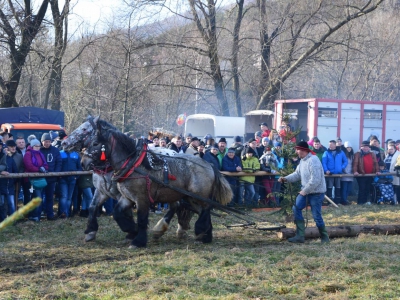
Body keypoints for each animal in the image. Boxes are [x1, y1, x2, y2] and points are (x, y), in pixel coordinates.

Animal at [83, 119, 234, 248]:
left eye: (95, 143)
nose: (84, 162)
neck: (134, 164)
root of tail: (208, 164)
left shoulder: (141, 198)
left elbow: (142, 219)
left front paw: (138, 240)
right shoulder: (126, 197)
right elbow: (116, 213)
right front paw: (131, 230)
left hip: (199, 196)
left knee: (206, 210)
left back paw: (200, 231)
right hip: (190, 198)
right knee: (200, 211)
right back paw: (205, 236)